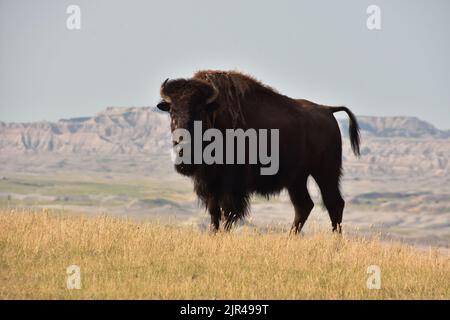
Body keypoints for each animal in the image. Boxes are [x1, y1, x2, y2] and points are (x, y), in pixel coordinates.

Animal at [156, 70, 360, 234]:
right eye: (172, 111)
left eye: (199, 111)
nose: (183, 156)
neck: (214, 117)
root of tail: (327, 110)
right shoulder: (209, 185)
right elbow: (215, 215)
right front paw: (213, 235)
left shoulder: (232, 186)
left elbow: (228, 214)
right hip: (297, 179)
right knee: (304, 206)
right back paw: (289, 239)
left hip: (325, 172)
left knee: (334, 203)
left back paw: (335, 244)